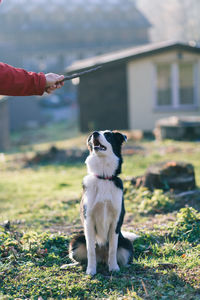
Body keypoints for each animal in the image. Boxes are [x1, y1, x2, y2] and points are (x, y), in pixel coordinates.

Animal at [69, 130, 138, 276]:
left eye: (108, 135)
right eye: (91, 136)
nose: (94, 133)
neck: (103, 177)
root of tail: (102, 258)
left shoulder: (116, 222)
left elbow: (112, 248)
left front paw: (114, 268)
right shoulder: (88, 220)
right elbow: (90, 250)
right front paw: (91, 270)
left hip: (127, 245)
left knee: (123, 257)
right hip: (75, 241)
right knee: (82, 259)